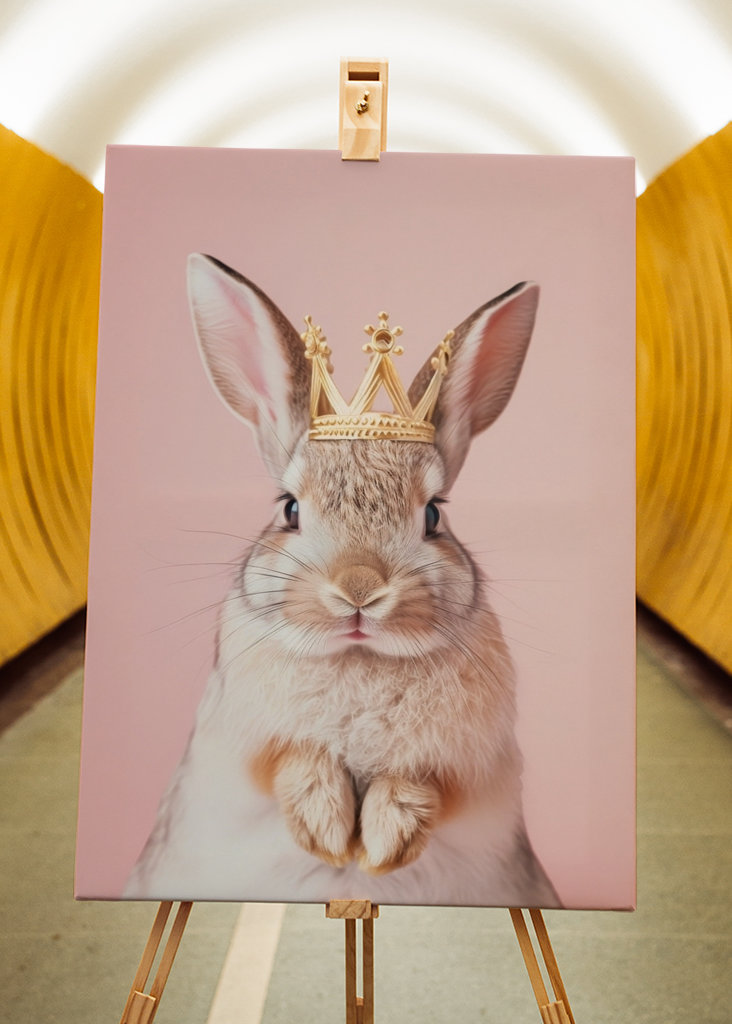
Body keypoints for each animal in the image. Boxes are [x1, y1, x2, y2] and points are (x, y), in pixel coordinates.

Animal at [124, 253, 560, 908]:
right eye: (289, 509)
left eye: (434, 515)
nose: (358, 588)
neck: (360, 658)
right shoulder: (238, 744)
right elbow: (291, 758)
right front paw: (326, 829)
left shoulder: (476, 769)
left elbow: (425, 780)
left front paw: (385, 841)